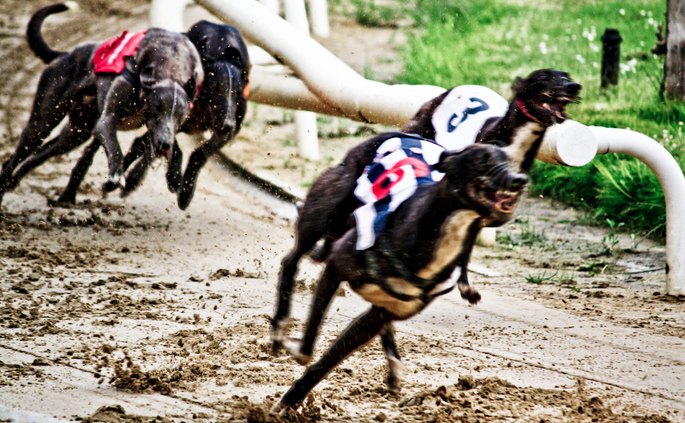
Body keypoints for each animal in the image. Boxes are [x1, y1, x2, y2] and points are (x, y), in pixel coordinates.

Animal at [270, 69, 580, 352]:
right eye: (547, 77)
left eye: (566, 75)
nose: (574, 86)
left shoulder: (475, 216)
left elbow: (463, 251)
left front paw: (463, 285)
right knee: (295, 256)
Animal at [274, 143, 528, 410]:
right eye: (482, 159)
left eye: (511, 160)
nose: (520, 179)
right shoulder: (335, 267)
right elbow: (308, 346)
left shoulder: (383, 313)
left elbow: (330, 359)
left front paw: (292, 400)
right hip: (319, 219)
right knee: (290, 261)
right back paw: (279, 326)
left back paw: (394, 368)